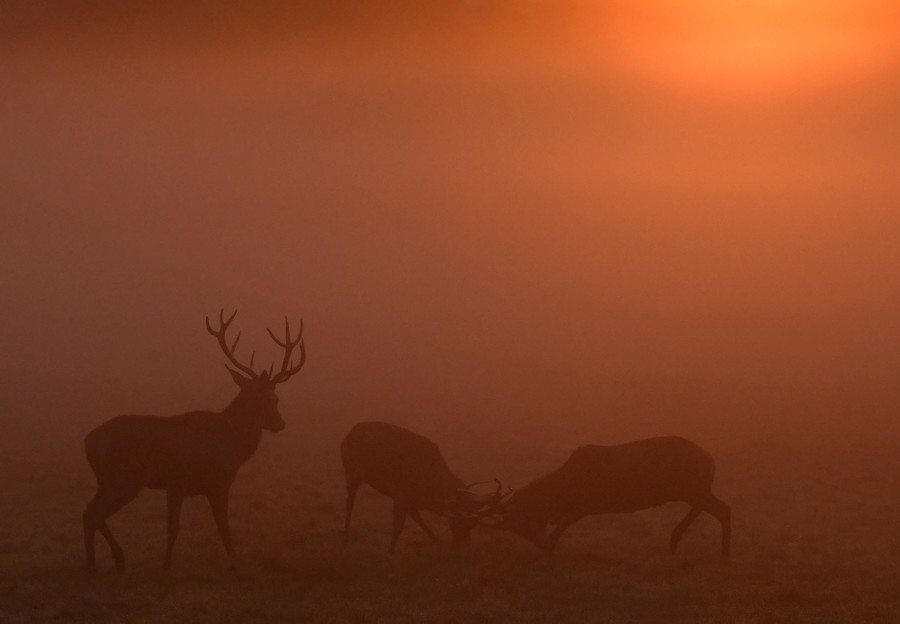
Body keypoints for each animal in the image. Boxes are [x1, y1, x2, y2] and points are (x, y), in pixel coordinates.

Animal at [82, 310, 306, 576]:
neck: (233, 446)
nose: (280, 424)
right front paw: (233, 563)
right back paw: (112, 560)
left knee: (88, 512)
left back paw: (95, 565)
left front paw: (166, 564)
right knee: (93, 513)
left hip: (107, 480)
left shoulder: (178, 486)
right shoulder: (209, 482)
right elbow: (217, 527)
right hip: (125, 478)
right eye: (265, 398)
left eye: (276, 397)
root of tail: (88, 441)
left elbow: (176, 528)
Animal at [340, 421, 507, 553]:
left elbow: (415, 516)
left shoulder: (411, 497)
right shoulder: (402, 493)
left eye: (472, 525)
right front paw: (391, 550)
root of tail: (349, 434)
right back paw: (346, 537)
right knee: (349, 503)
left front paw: (435, 538)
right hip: (351, 471)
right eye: (457, 521)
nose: (462, 543)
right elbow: (398, 525)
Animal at [469, 436, 730, 559]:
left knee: (714, 507)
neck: (561, 492)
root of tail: (710, 460)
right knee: (722, 508)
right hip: (697, 488)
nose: (540, 542)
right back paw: (722, 553)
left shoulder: (586, 503)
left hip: (690, 487)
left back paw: (676, 538)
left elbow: (564, 524)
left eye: (520, 524)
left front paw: (550, 549)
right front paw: (549, 548)